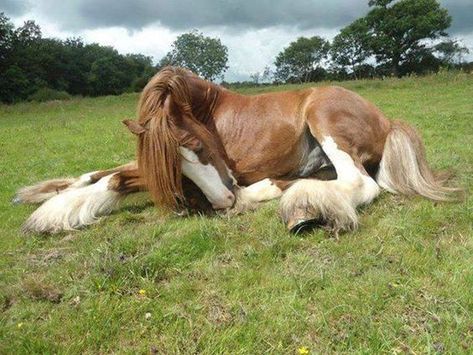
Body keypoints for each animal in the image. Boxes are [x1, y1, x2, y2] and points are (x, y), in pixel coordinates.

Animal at [15, 66, 460, 236]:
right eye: (176, 166)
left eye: (197, 146)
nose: (221, 201)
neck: (211, 114)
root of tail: (387, 121)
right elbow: (103, 173)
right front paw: (45, 195)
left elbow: (117, 178)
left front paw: (53, 213)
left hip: (323, 117)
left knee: (360, 184)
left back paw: (299, 205)